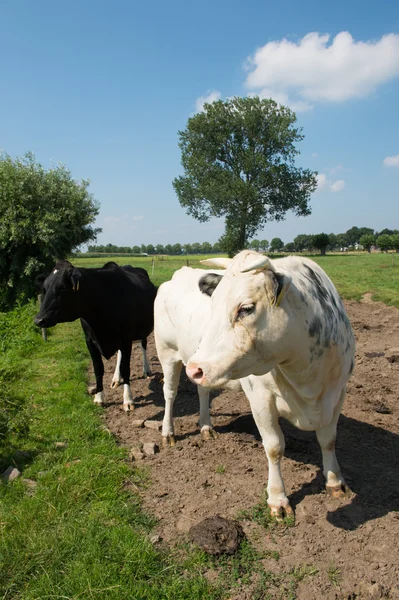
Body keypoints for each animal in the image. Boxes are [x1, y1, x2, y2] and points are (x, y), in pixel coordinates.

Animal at [34, 260, 158, 410]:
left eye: (63, 287)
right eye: (45, 289)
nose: (39, 319)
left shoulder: (126, 339)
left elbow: (126, 368)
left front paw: (128, 400)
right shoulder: (90, 341)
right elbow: (98, 369)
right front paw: (99, 397)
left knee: (143, 344)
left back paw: (146, 370)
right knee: (120, 355)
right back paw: (116, 378)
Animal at [188, 251, 356, 516]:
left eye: (246, 308)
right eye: (213, 305)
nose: (194, 368)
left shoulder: (337, 394)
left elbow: (328, 439)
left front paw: (335, 481)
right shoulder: (261, 399)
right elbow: (275, 447)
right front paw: (278, 498)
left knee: (203, 390)